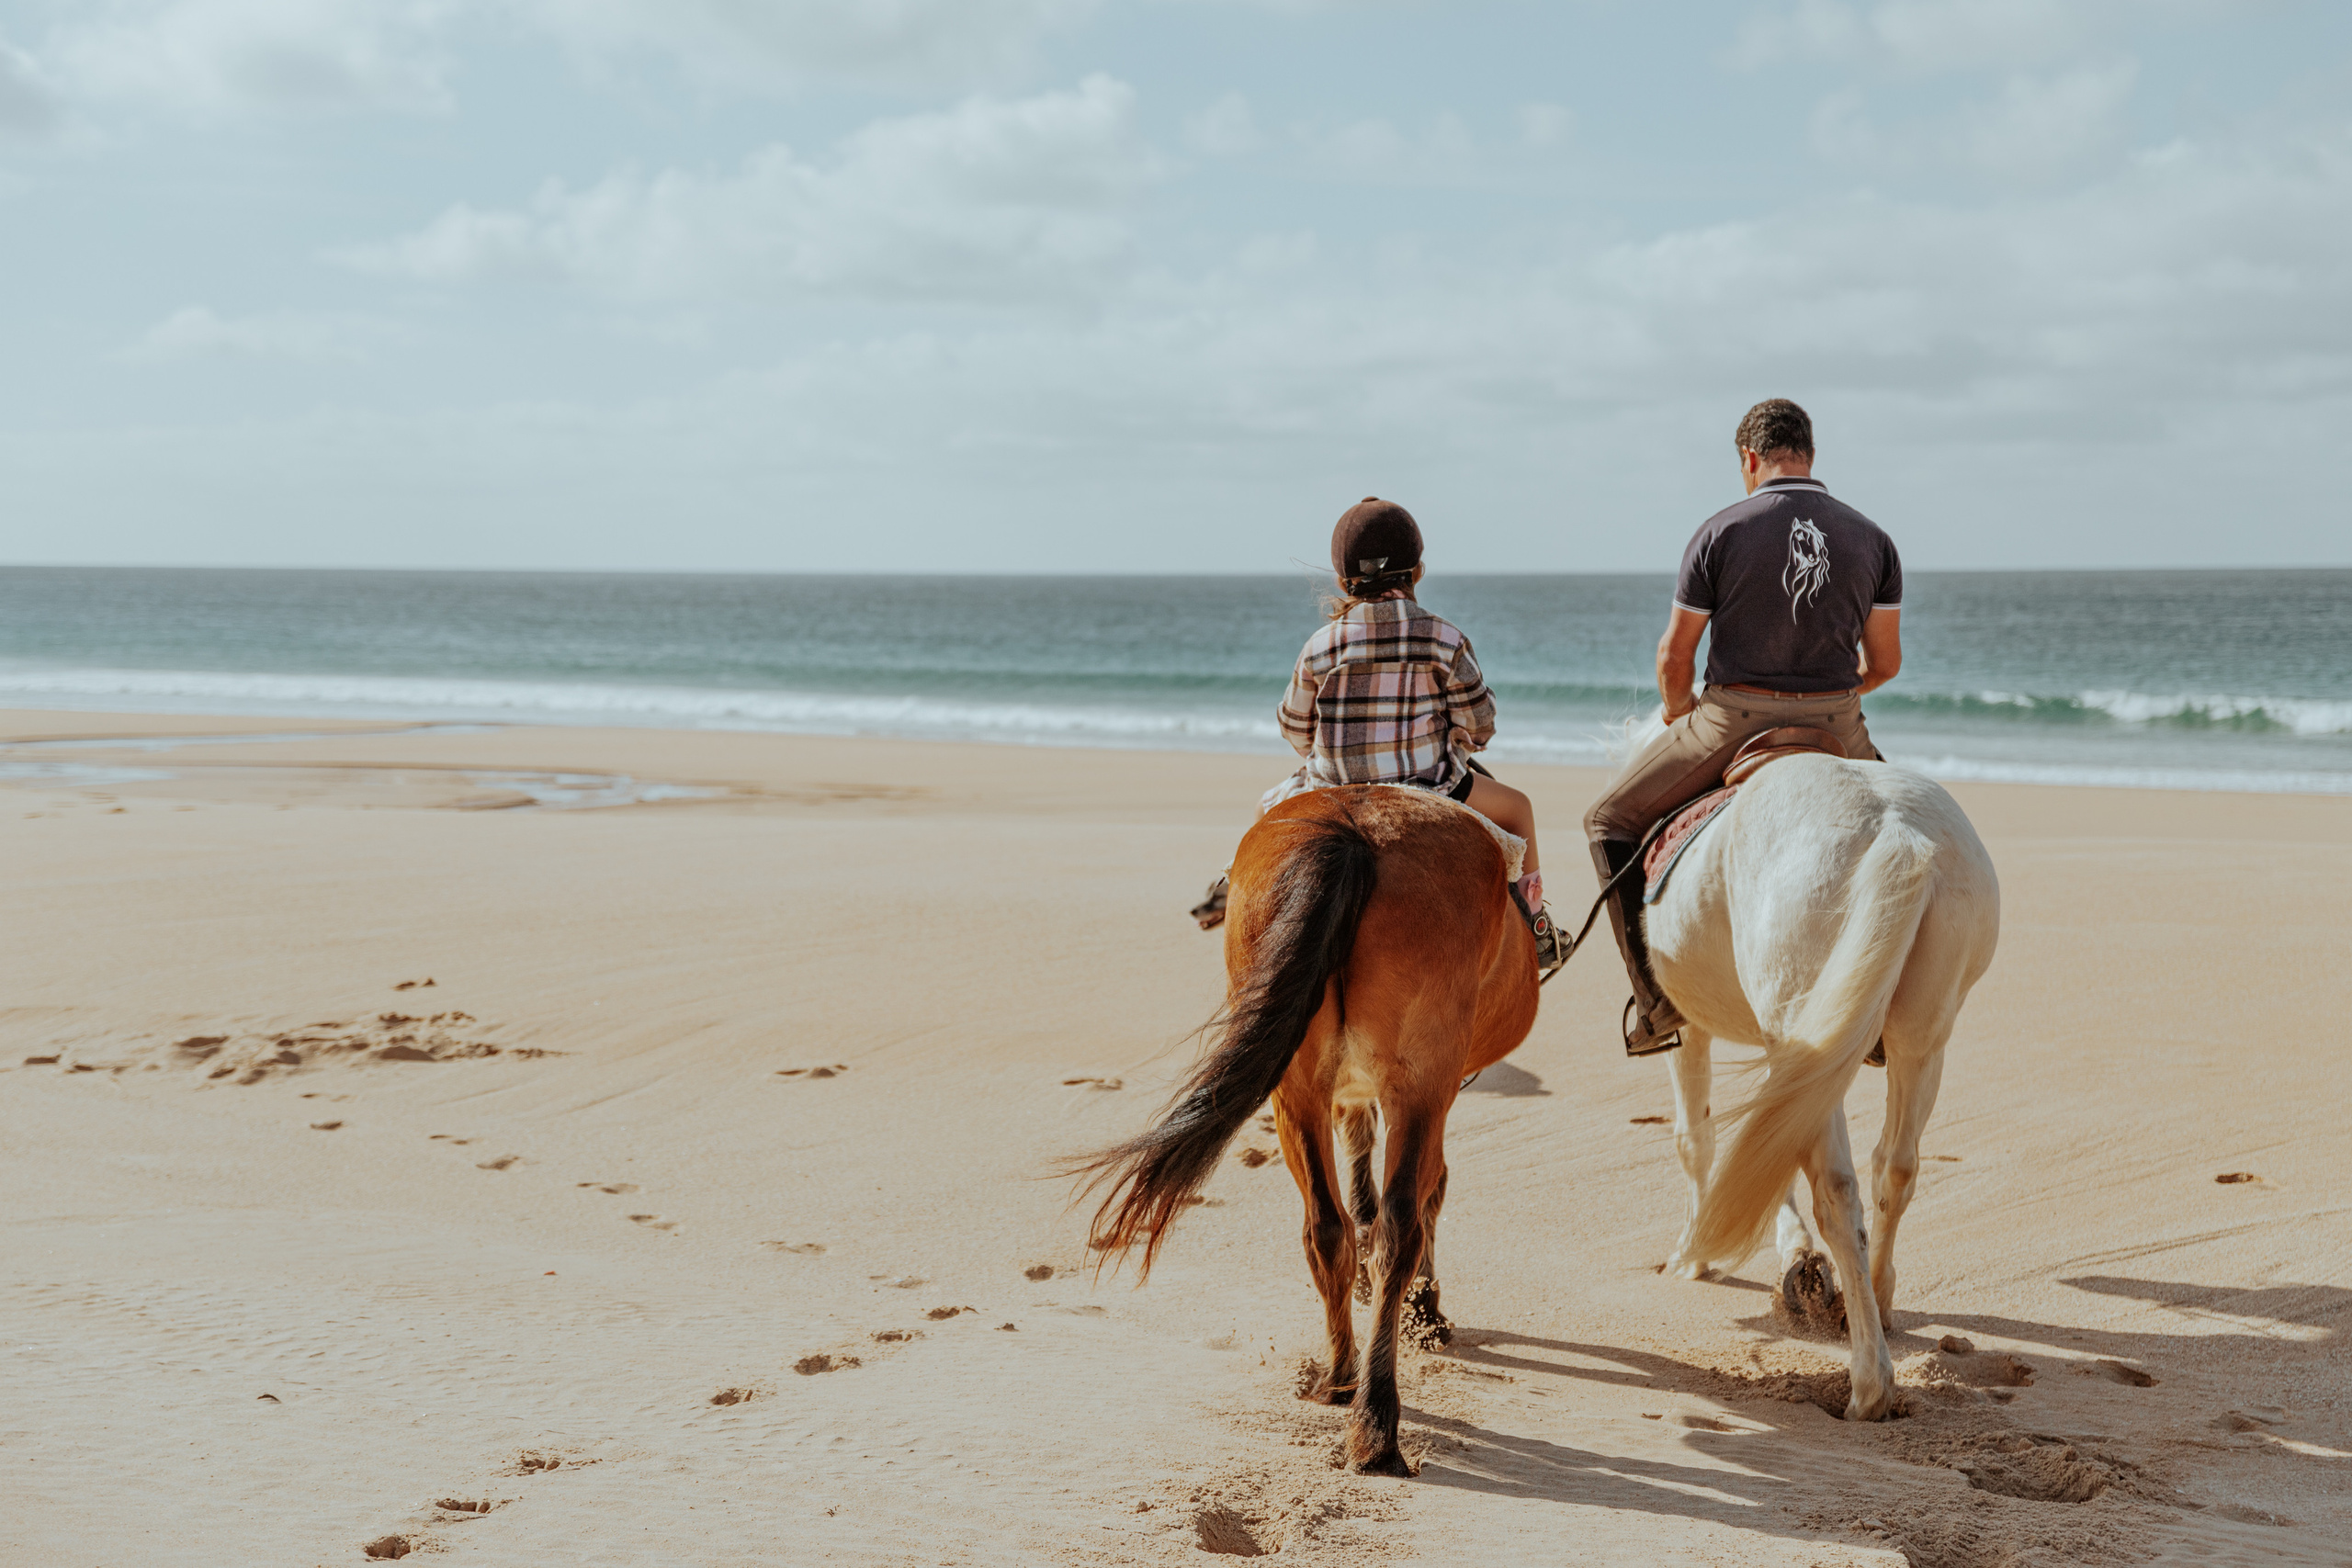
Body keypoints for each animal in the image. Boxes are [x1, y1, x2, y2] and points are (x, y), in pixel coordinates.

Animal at [1068, 783, 1539, 1476]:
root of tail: (1353, 829)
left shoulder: (1351, 1094)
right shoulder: (1433, 1093)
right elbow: (1425, 1192)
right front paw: (1425, 1313)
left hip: (1299, 1090)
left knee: (1328, 1225)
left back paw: (1345, 1383)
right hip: (1419, 1082)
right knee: (1398, 1221)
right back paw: (1374, 1412)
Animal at [1621, 708, 2000, 1419]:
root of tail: (1896, 831)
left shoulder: (1692, 1031)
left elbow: (1698, 1140)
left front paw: (1692, 1256)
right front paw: (1795, 1258)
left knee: (1838, 1190)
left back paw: (1869, 1382)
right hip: (1920, 1041)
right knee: (1894, 1168)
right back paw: (1873, 1302)